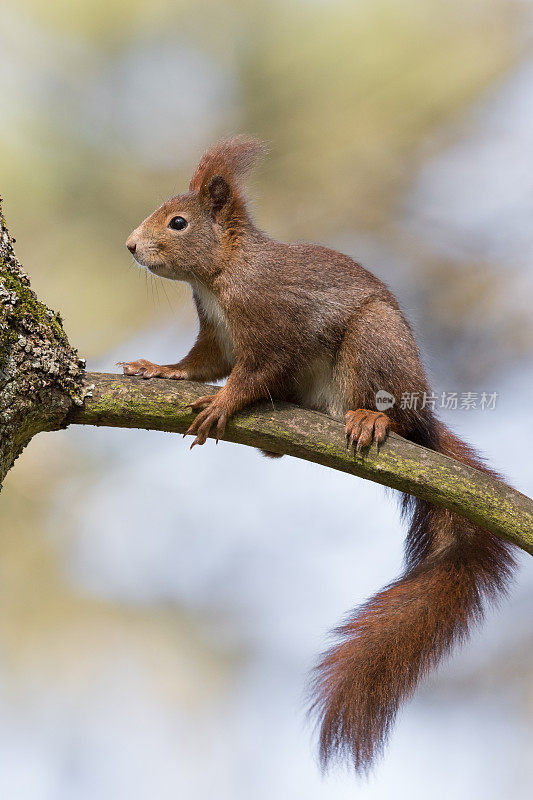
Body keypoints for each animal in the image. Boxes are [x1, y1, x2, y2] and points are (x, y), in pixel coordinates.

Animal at [119, 139, 516, 776]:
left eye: (178, 223)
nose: (131, 246)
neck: (220, 276)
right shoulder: (216, 333)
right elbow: (201, 364)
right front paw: (158, 369)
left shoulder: (272, 324)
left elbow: (254, 369)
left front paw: (224, 402)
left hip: (375, 351)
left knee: (396, 414)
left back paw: (374, 420)